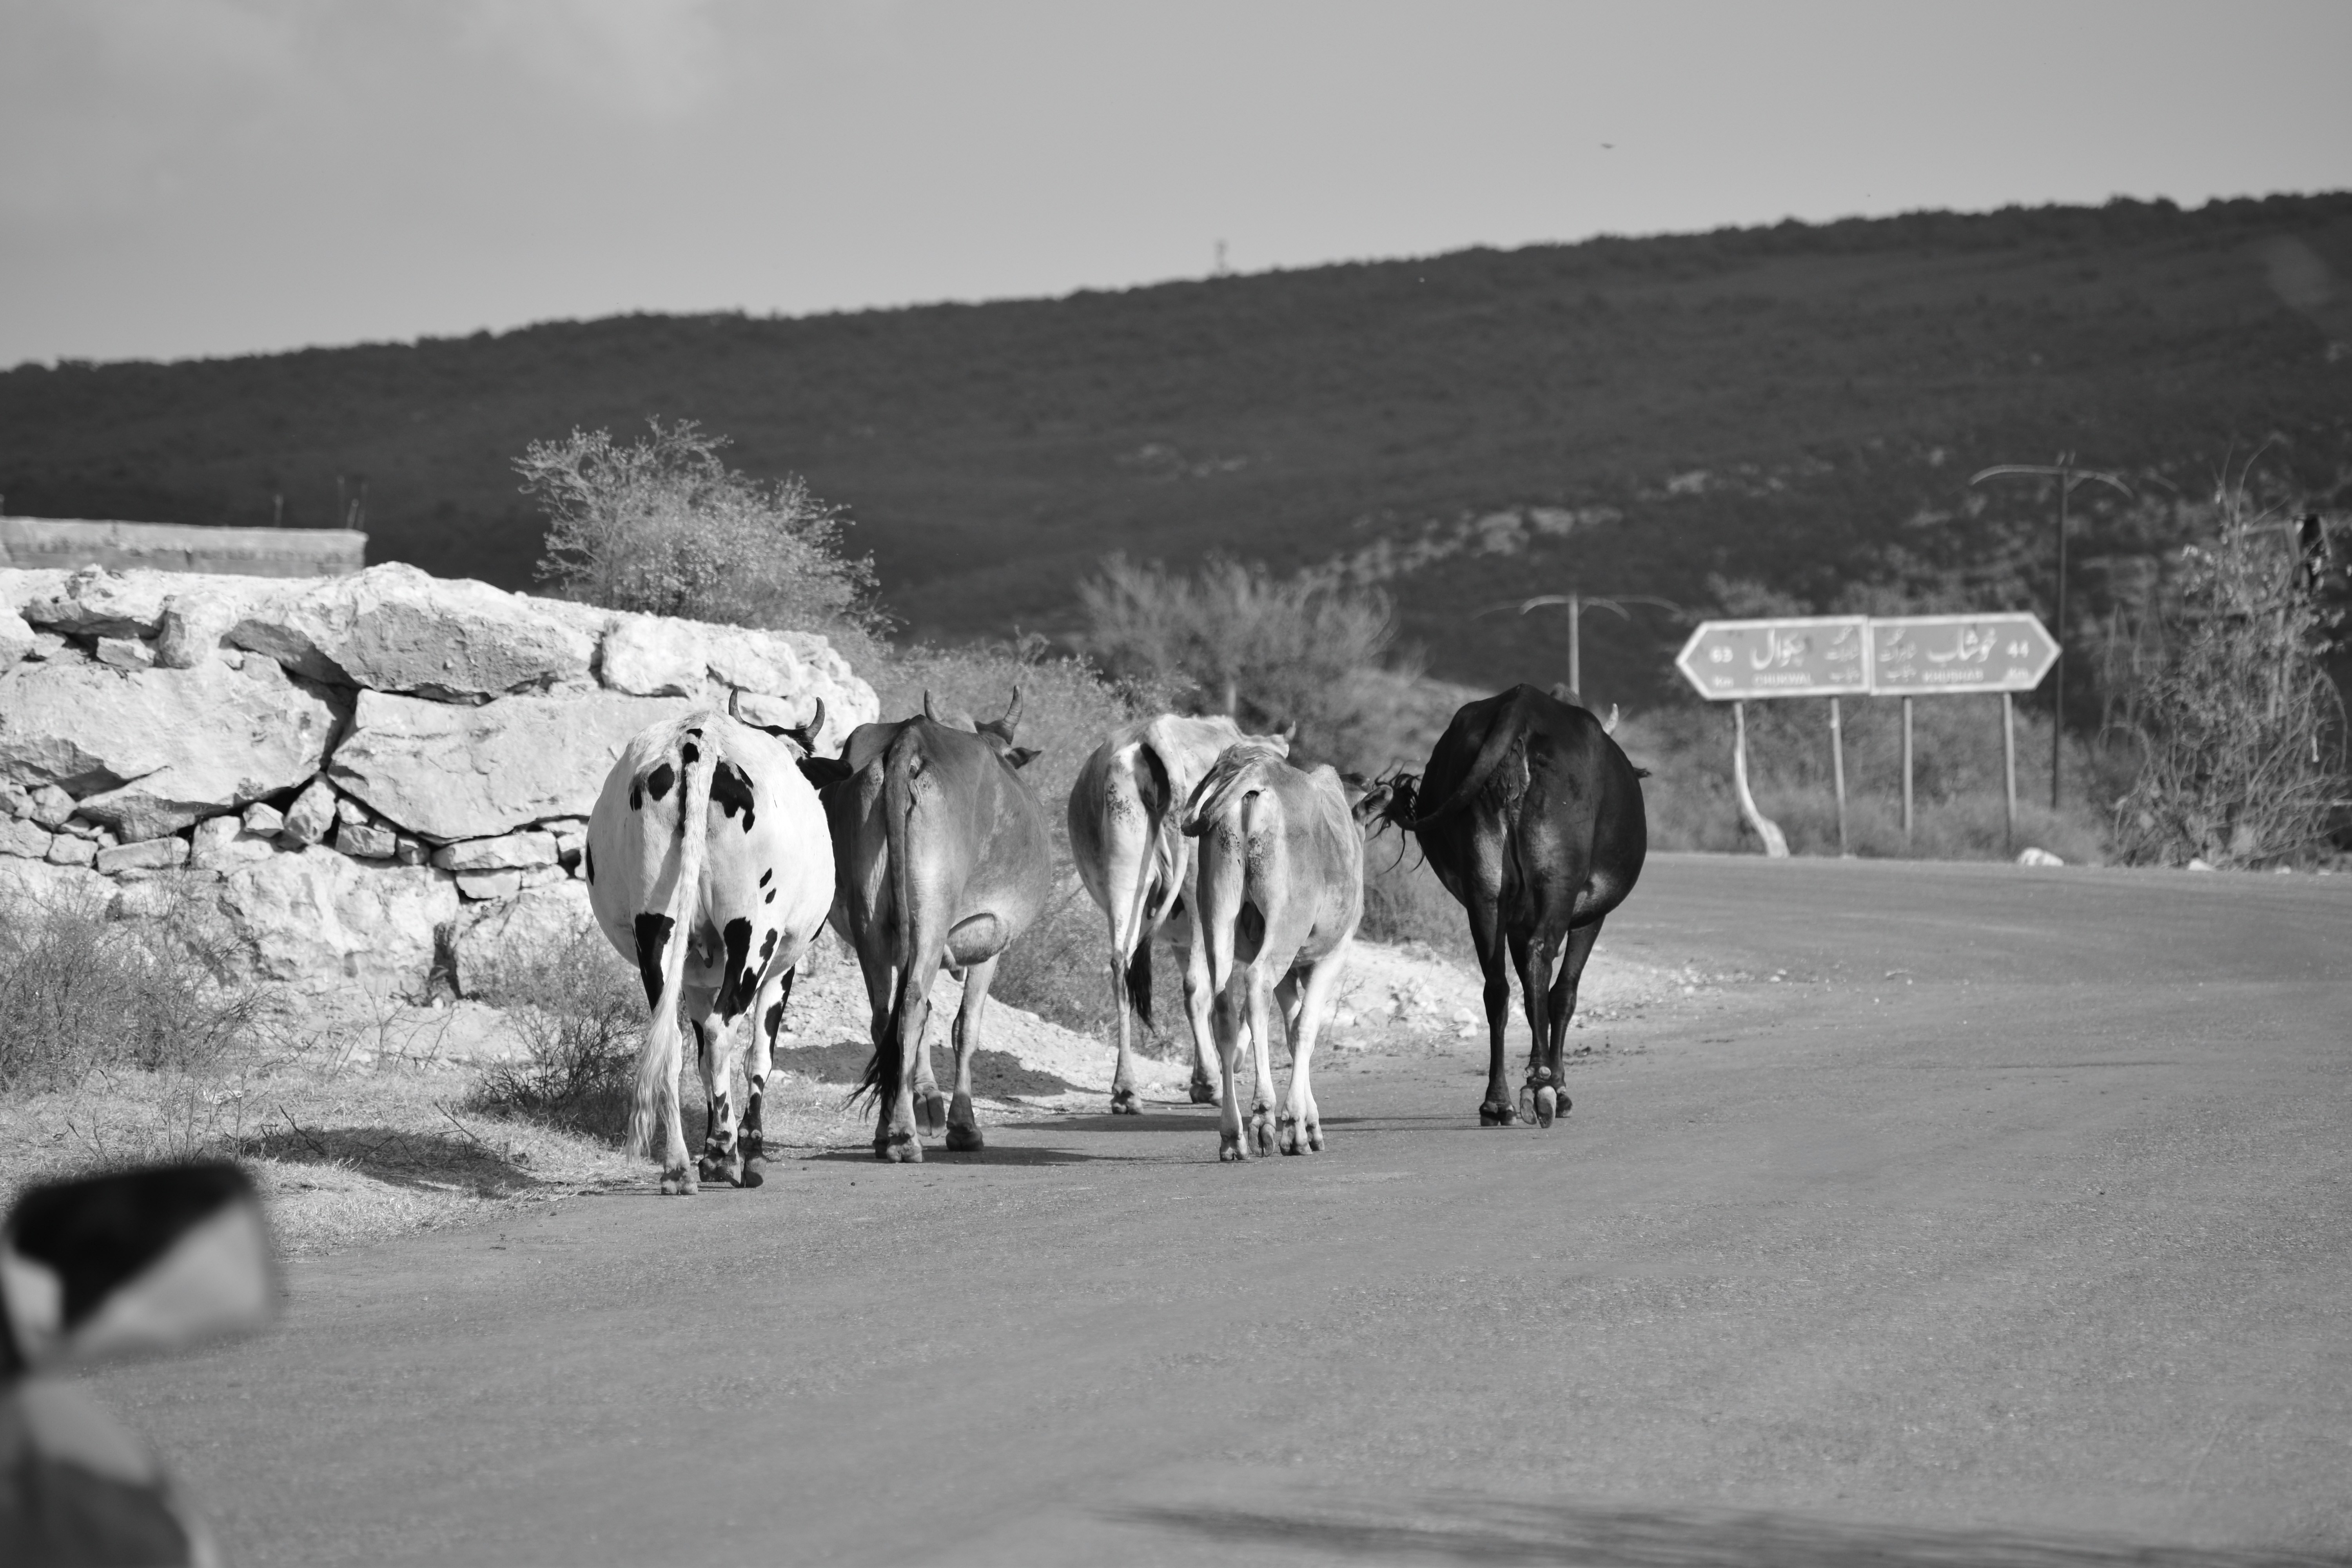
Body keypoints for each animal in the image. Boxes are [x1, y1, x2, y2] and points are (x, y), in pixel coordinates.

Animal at [584, 708, 837, 1195]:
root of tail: (698, 741)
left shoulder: (697, 982)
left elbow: (701, 1063)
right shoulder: (782, 969)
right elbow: (759, 1056)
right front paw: (748, 1148)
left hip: (656, 931)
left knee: (672, 1042)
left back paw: (679, 1167)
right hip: (754, 934)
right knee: (724, 1030)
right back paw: (725, 1151)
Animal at [832, 691, 1053, 1162]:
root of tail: (910, 739)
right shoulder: (991, 940)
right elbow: (965, 1027)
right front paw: (963, 1125)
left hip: (870, 923)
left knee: (885, 1016)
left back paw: (887, 1130)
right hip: (933, 915)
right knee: (913, 1004)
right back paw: (903, 1136)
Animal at [1066, 714, 1290, 1114]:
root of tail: (1154, 733)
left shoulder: (1179, 939)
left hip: (1124, 878)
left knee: (1121, 965)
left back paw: (1126, 1090)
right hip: (1202, 893)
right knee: (1200, 987)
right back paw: (1211, 1083)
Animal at [1181, 742, 1385, 1162]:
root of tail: (1258, 775)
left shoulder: (1292, 969)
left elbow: (1292, 1032)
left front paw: (1309, 1123)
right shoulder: (1331, 957)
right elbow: (1305, 1030)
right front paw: (1297, 1127)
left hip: (1216, 918)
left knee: (1223, 1007)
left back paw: (1233, 1135)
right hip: (1284, 925)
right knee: (1256, 983)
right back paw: (1264, 1117)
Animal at [1370, 684, 1646, 1129]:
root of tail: (1523, 704)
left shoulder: (1515, 922)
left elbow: (1531, 997)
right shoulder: (1590, 915)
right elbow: (1562, 995)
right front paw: (1561, 1087)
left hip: (1484, 888)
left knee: (1496, 986)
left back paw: (1497, 1102)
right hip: (1557, 879)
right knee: (1541, 961)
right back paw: (1541, 1084)